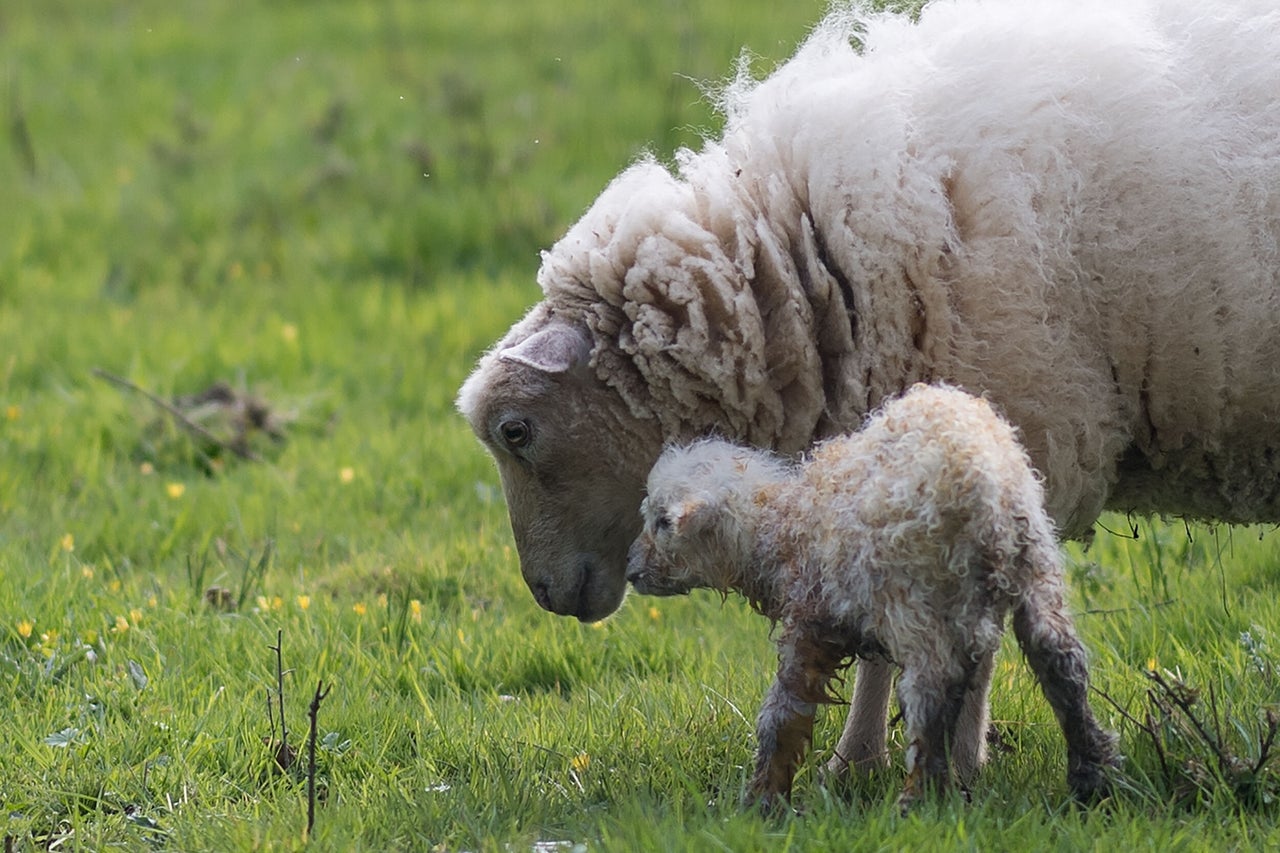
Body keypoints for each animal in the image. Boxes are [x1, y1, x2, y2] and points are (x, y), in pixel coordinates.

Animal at [629, 384, 1121, 804]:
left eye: (661, 521)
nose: (632, 569)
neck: (783, 524)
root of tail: (983, 486)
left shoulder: (809, 619)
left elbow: (781, 714)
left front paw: (762, 800)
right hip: (1034, 565)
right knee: (1061, 663)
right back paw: (1092, 776)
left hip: (917, 597)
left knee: (930, 691)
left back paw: (920, 798)